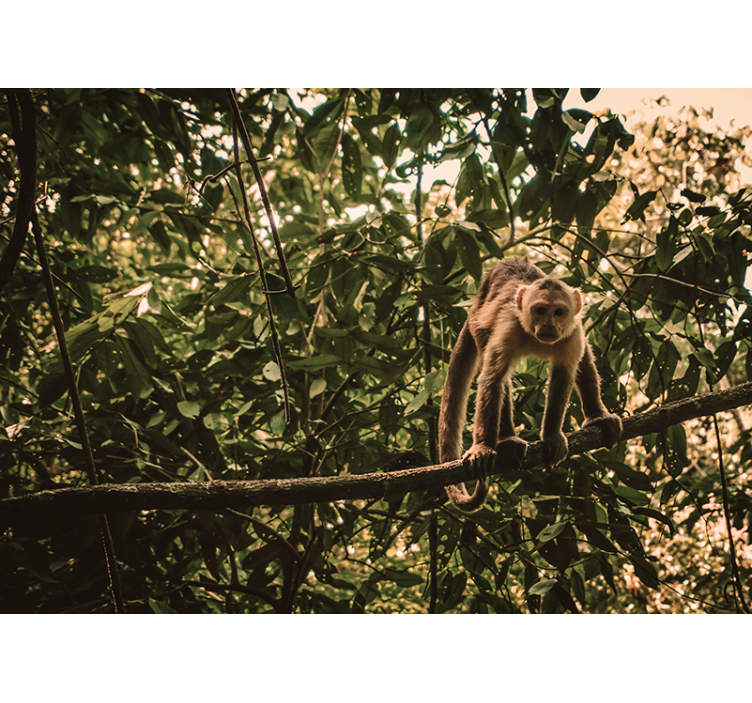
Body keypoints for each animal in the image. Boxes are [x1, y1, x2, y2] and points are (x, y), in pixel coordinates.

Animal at [438, 258, 622, 513]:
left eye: (558, 312)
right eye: (540, 310)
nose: (548, 325)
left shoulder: (572, 331)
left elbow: (565, 373)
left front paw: (552, 435)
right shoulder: (510, 326)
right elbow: (492, 378)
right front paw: (483, 446)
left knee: (584, 356)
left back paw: (597, 415)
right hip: (479, 324)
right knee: (497, 374)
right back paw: (506, 441)